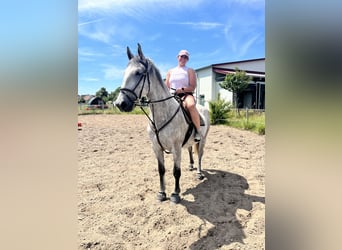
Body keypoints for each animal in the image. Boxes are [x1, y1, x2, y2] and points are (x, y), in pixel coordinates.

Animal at [115, 43, 210, 203]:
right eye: (124, 73)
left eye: (139, 73)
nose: (120, 103)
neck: (162, 116)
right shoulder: (156, 148)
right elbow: (161, 170)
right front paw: (161, 193)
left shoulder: (176, 148)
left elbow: (176, 171)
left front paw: (175, 194)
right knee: (190, 149)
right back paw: (191, 166)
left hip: (202, 140)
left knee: (200, 156)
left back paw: (198, 172)